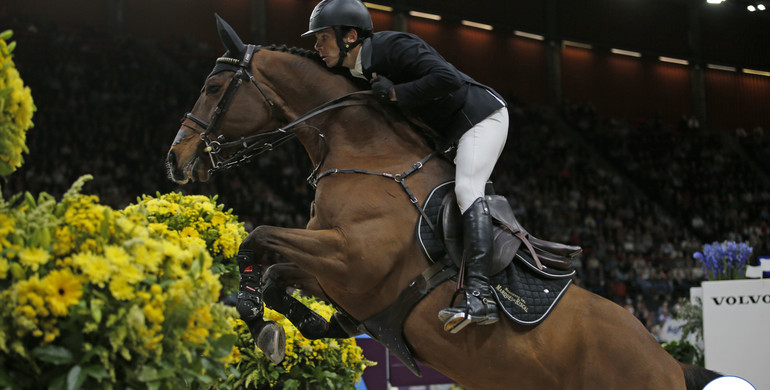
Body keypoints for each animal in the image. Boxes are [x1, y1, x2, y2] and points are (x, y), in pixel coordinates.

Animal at [165, 15, 716, 390]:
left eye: (212, 86)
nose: (176, 160)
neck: (366, 155)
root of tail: (669, 363)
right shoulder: (344, 277)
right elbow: (276, 273)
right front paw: (303, 326)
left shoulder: (353, 260)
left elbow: (257, 238)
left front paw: (258, 319)